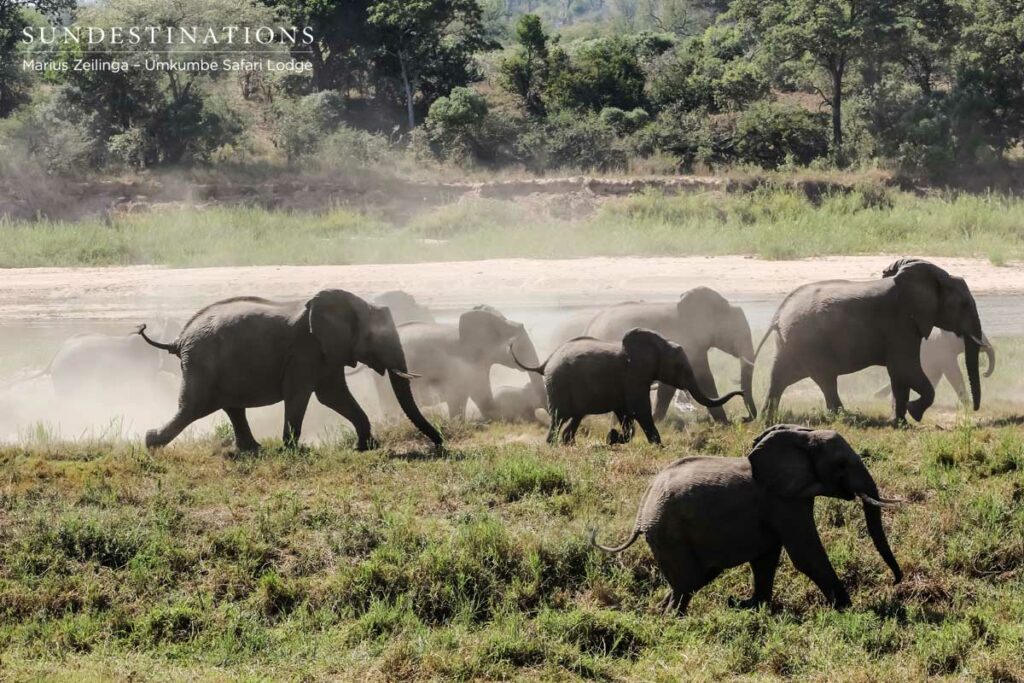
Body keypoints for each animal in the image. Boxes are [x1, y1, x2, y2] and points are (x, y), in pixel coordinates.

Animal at [137, 290, 443, 452]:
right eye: (376, 338)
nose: (438, 443)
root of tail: (178, 339)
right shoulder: (305, 350)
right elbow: (300, 395)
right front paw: (296, 450)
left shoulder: (326, 353)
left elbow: (333, 396)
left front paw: (366, 447)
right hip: (202, 362)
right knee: (192, 407)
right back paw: (151, 443)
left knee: (231, 407)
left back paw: (253, 449)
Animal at [513, 328, 745, 445]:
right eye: (680, 367)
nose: (742, 392)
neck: (659, 343)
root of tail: (546, 362)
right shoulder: (633, 377)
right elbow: (639, 410)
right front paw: (658, 446)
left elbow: (626, 412)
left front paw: (614, 438)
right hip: (558, 385)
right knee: (558, 418)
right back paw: (553, 444)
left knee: (575, 417)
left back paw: (568, 443)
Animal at [585, 287, 757, 423]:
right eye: (737, 333)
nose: (744, 418)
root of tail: (590, 324)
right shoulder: (688, 341)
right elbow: (704, 378)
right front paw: (725, 424)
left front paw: (656, 420)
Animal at [591, 424, 903, 615]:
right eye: (841, 465)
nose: (895, 582)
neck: (802, 435)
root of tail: (643, 505)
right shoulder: (783, 500)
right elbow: (806, 555)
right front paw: (848, 609)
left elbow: (766, 558)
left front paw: (752, 606)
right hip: (668, 532)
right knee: (688, 580)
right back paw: (672, 618)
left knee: (694, 578)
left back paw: (661, 612)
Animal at [757, 258, 986, 423]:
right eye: (965, 305)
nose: (974, 410)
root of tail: (779, 314)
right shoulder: (901, 324)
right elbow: (905, 368)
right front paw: (914, 412)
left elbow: (899, 374)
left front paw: (900, 423)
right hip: (809, 342)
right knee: (825, 378)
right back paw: (846, 418)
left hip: (792, 343)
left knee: (780, 377)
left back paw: (766, 419)